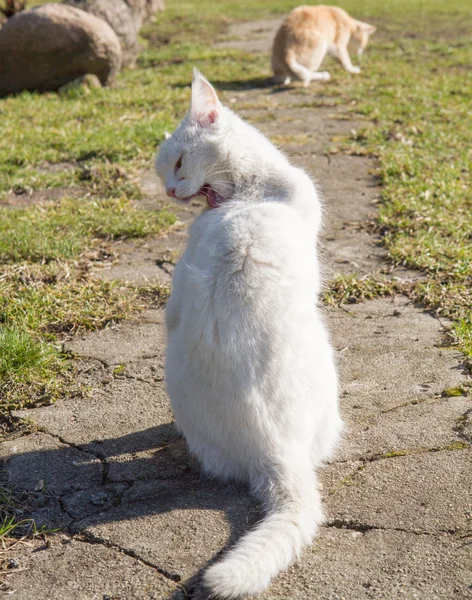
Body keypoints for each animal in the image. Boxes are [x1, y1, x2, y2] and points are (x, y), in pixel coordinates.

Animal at [157, 71, 342, 600]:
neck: (250, 191)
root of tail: (275, 451)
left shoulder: (178, 292)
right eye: (164, 173)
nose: (171, 192)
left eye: (178, 163)